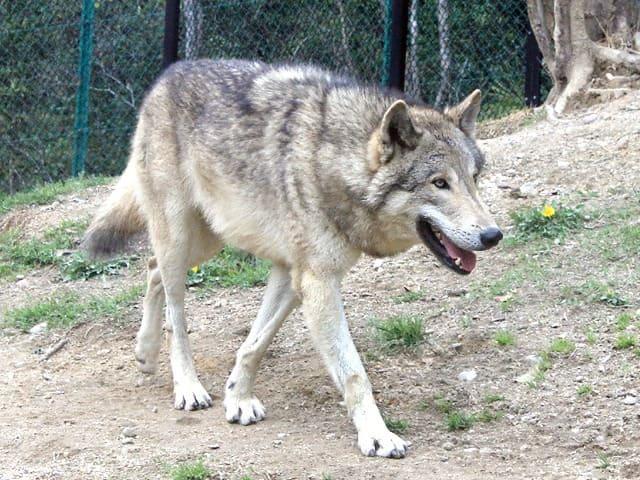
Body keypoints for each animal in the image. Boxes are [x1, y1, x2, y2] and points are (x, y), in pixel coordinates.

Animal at [83, 59, 502, 458]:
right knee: (175, 311)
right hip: (182, 238)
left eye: (474, 178)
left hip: (207, 240)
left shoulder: (292, 273)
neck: (334, 163)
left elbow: (256, 343)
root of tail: (167, 76)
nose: (493, 235)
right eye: (439, 183)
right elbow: (354, 373)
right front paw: (377, 436)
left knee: (152, 270)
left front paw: (237, 397)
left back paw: (144, 354)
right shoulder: (318, 282)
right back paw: (186, 385)